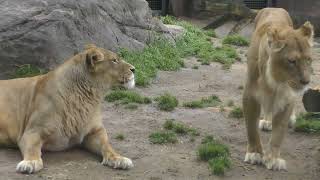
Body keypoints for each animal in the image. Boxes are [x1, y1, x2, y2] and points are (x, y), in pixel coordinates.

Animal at [0, 43, 136, 173]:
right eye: (114, 60)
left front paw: (119, 158)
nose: (134, 69)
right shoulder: (31, 131)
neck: (89, 97)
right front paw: (30, 162)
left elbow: (107, 145)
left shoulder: (95, 131)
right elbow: (32, 148)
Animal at [242, 7, 312, 171]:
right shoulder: (249, 95)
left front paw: (273, 158)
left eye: (309, 59)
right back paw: (267, 121)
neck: (276, 80)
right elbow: (251, 127)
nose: (306, 81)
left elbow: (279, 131)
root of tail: (273, 7)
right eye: (292, 61)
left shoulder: (287, 97)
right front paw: (255, 153)